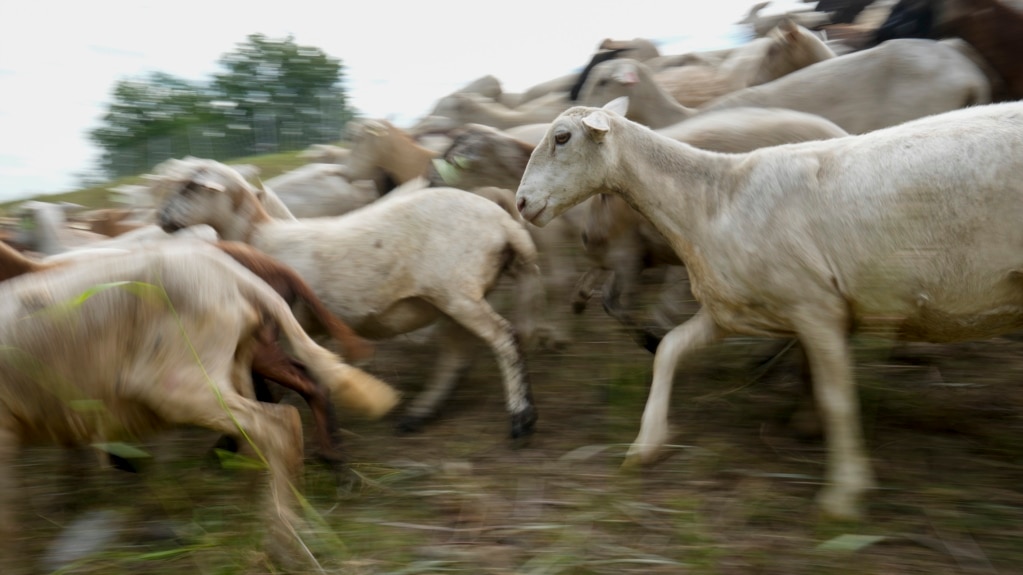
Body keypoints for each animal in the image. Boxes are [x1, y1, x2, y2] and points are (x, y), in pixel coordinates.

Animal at [0, 238, 398, 568]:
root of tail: (239, 277)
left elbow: (10, 511)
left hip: (184, 382)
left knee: (281, 419)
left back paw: (283, 530)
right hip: (235, 366)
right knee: (270, 424)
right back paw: (265, 505)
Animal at [152, 156, 548, 433]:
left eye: (188, 186)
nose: (161, 220)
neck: (259, 237)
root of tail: (501, 220)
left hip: (457, 292)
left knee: (503, 339)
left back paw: (521, 418)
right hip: (453, 298)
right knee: (456, 356)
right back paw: (420, 413)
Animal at [515, 98, 1023, 519]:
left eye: (562, 137)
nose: (520, 202)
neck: (712, 199)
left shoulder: (816, 307)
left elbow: (838, 400)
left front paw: (844, 494)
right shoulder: (732, 311)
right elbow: (669, 351)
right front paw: (646, 444)